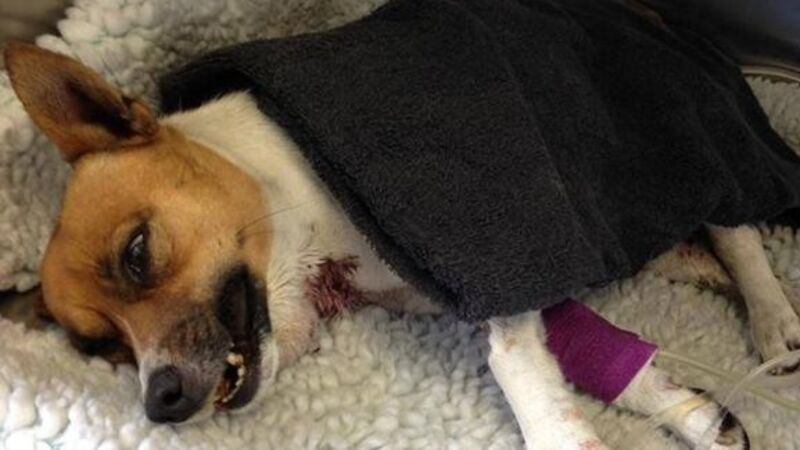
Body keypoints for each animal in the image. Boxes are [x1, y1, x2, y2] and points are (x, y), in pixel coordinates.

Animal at [11, 39, 800, 449]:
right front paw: (691, 414)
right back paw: (693, 264)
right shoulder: (462, 291)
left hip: (691, 141)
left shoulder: (486, 264)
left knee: (738, 225)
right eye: (100, 348)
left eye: (137, 253)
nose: (161, 402)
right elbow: (605, 360)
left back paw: (770, 314)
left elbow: (523, 376)